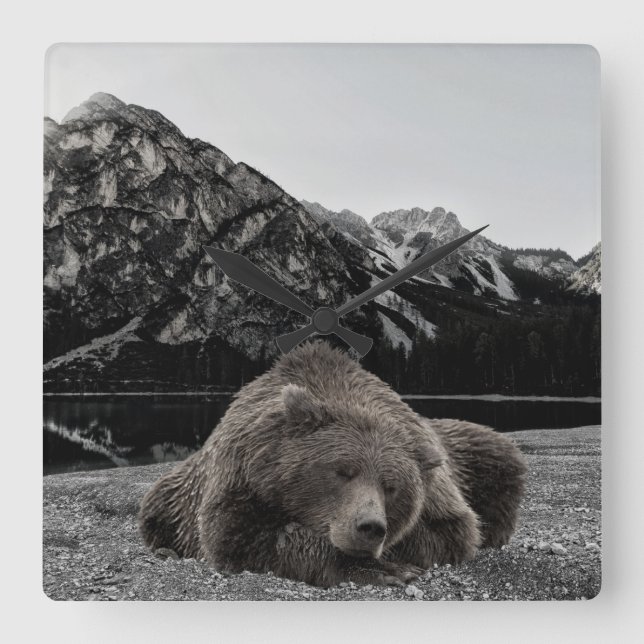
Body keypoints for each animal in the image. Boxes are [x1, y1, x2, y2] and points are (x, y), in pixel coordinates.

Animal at [138, 341, 526, 587]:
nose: (370, 527)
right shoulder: (241, 475)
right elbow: (241, 535)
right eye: (342, 471)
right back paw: (165, 550)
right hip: (174, 493)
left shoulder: (439, 493)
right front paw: (379, 569)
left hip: (480, 454)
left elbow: (450, 532)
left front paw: (390, 561)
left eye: (391, 486)